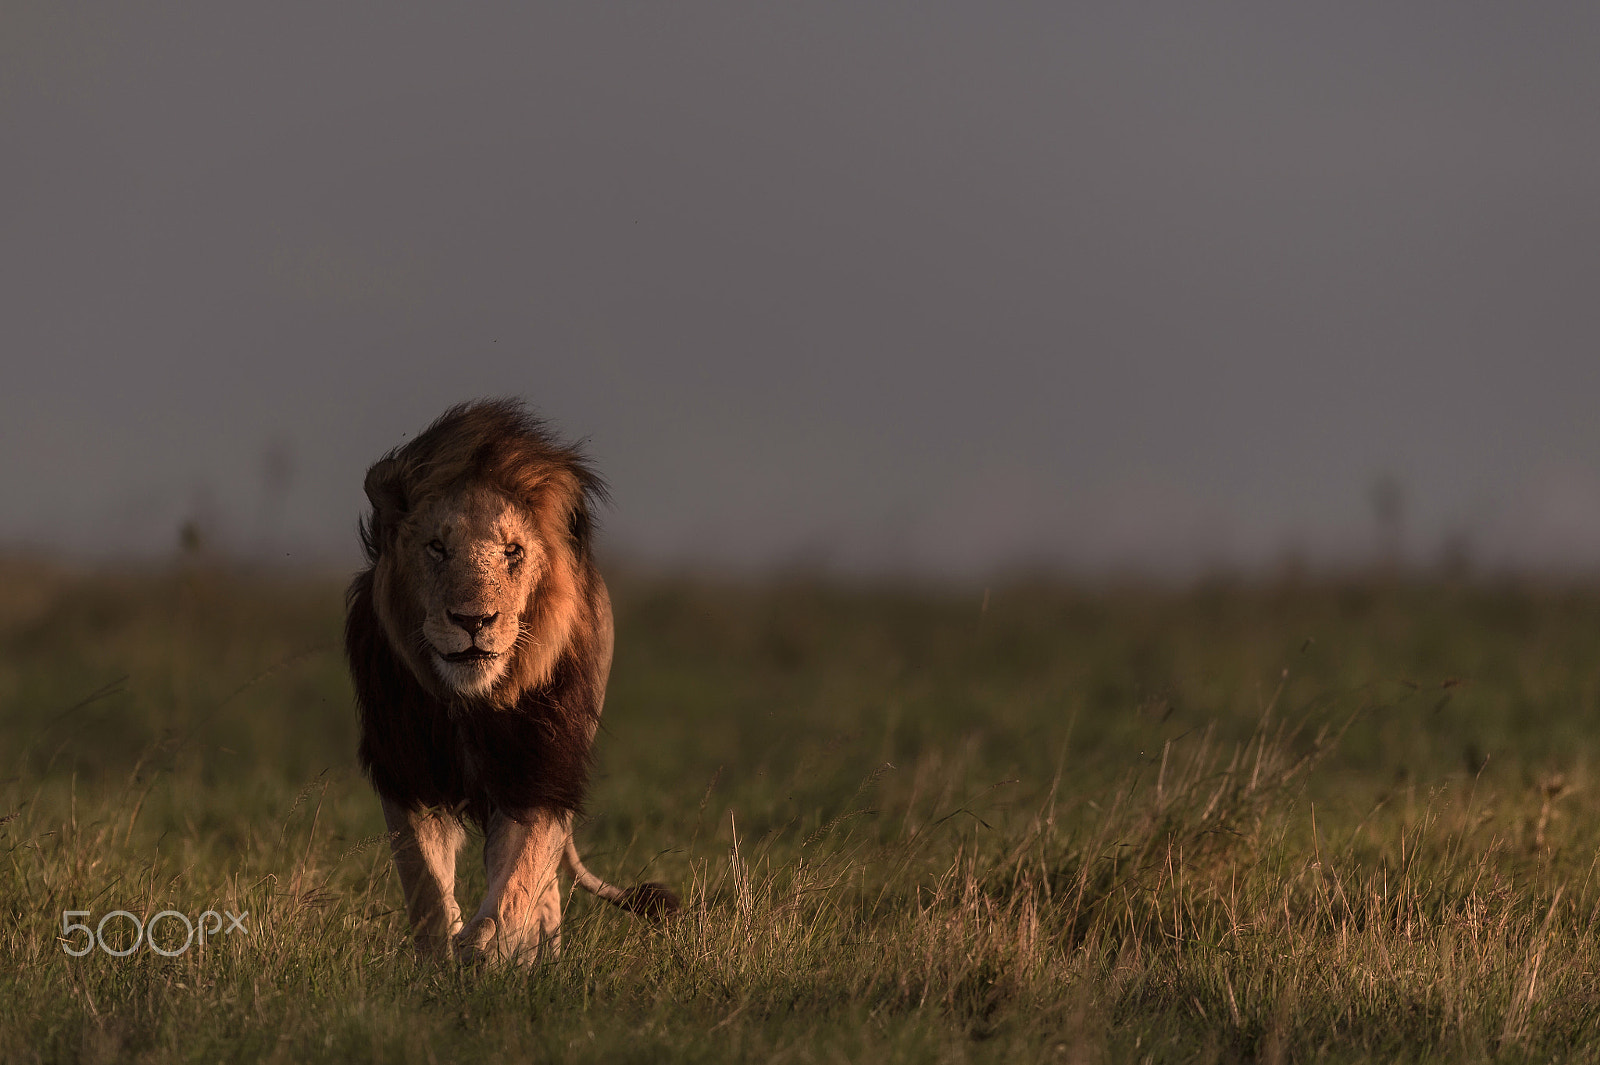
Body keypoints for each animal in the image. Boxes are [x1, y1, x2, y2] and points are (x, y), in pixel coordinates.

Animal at [344, 398, 675, 959]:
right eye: (436, 548)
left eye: (513, 551)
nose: (473, 621)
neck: (471, 702)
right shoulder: (407, 768)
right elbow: (424, 881)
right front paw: (441, 954)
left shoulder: (539, 771)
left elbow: (519, 878)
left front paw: (485, 953)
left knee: (545, 888)